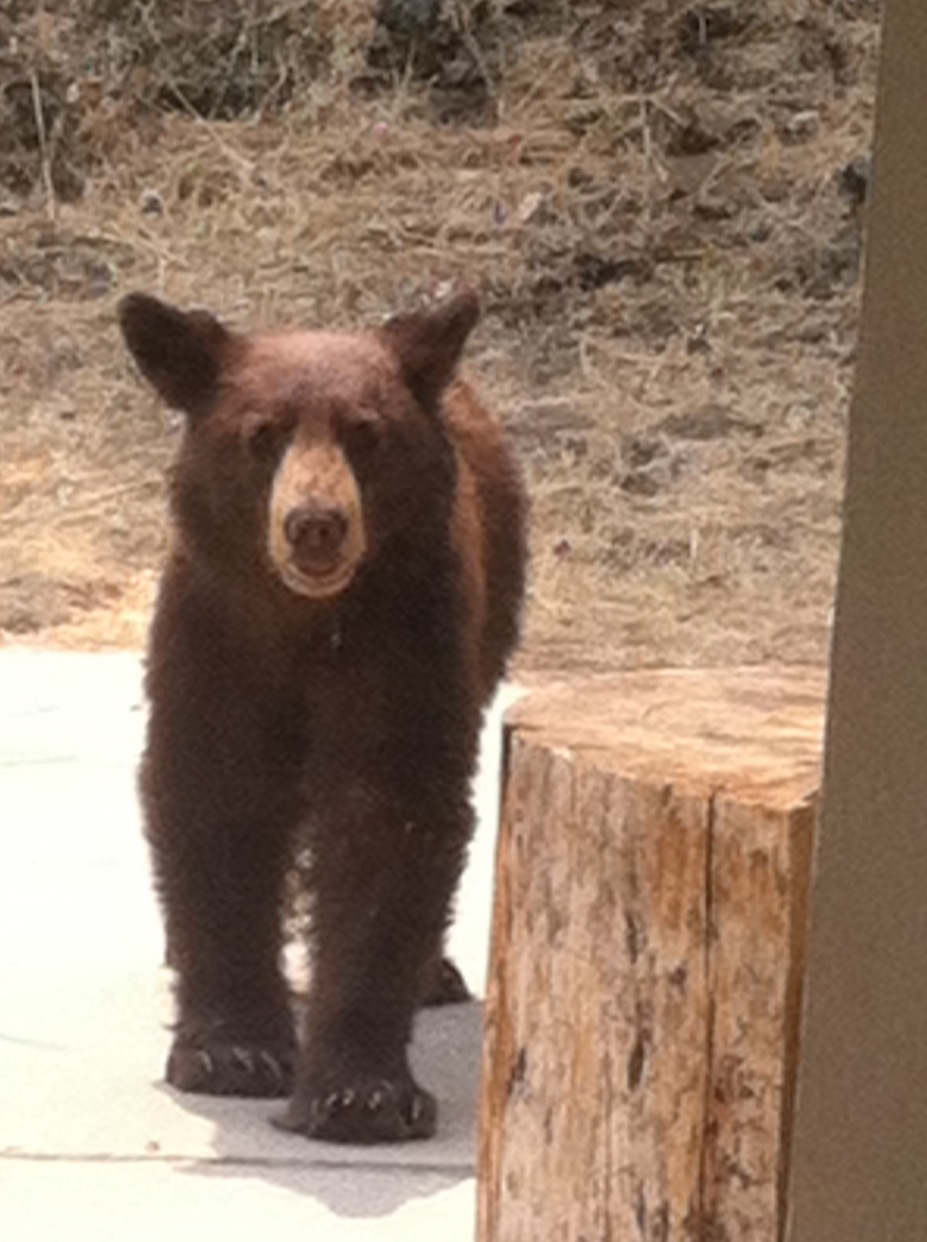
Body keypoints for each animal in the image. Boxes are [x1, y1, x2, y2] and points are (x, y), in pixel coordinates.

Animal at [118, 288, 526, 1143]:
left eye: (366, 433)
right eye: (260, 433)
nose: (314, 523)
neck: (305, 621)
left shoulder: (405, 637)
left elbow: (388, 812)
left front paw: (361, 1093)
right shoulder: (216, 630)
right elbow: (216, 795)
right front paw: (233, 1051)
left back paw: (432, 973)